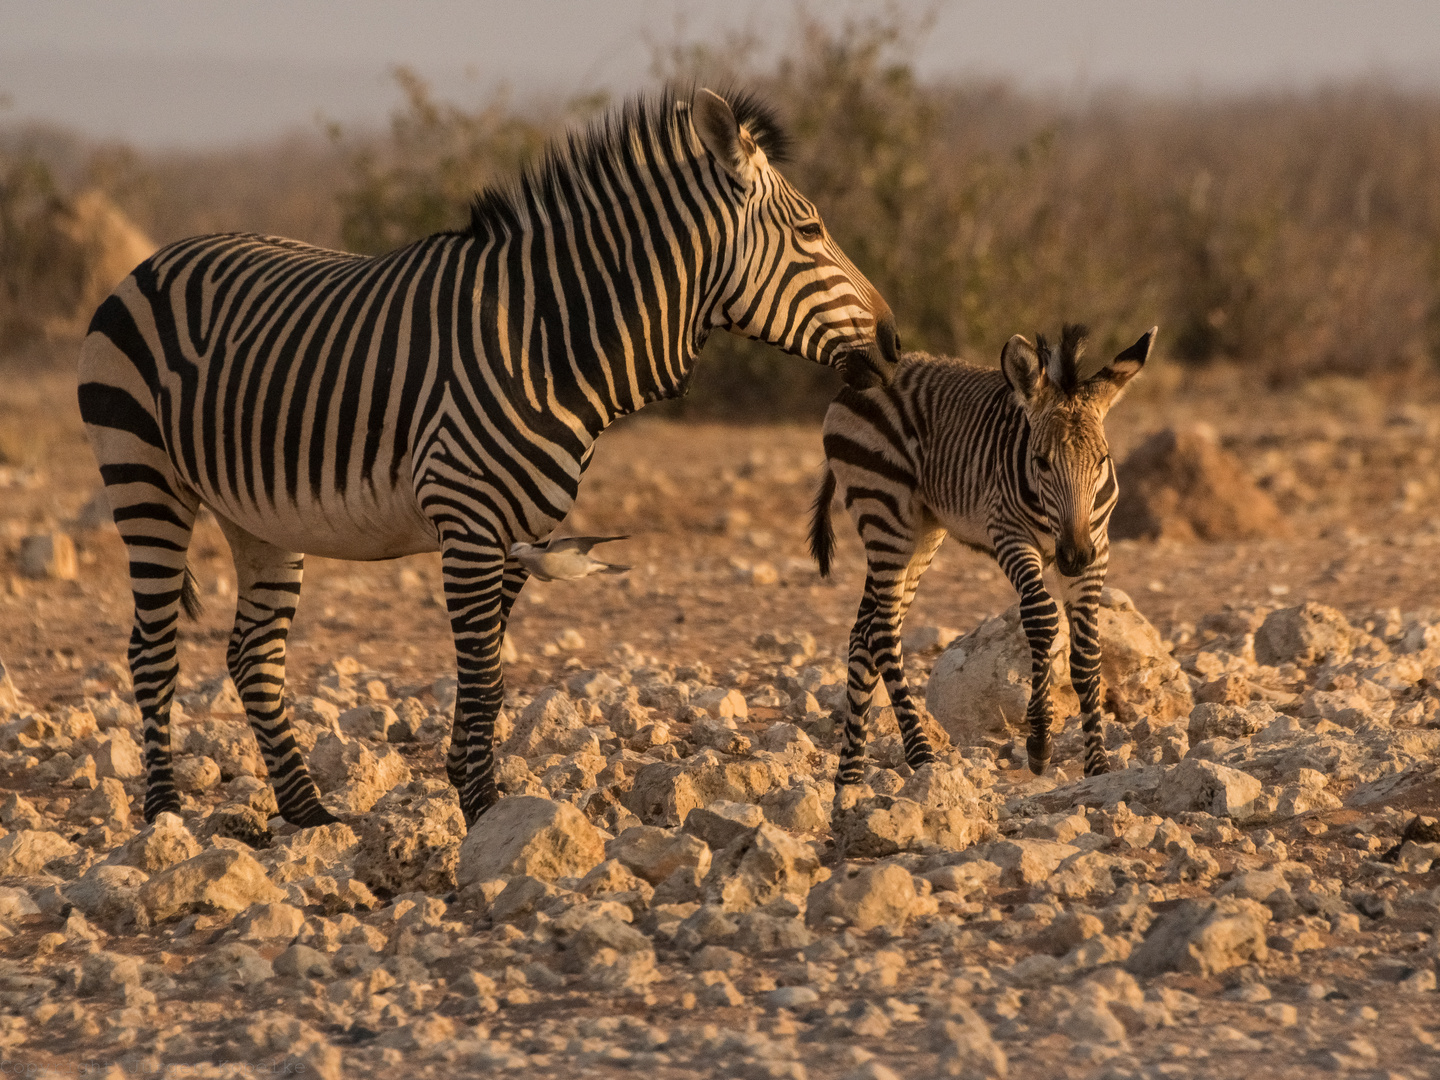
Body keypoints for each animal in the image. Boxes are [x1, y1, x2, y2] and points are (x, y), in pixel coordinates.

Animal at [78, 88, 898, 829]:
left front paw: (478, 792)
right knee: (152, 649)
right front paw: (482, 809)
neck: (548, 339)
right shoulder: (469, 524)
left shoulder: (520, 533)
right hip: (144, 478)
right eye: (810, 229)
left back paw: (308, 813)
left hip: (259, 517)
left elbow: (489, 679)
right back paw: (164, 816)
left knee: (253, 656)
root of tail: (151, 260)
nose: (892, 345)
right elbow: (483, 679)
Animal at [817, 325, 1152, 789]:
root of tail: (859, 378)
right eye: (1040, 462)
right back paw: (920, 754)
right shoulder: (1009, 534)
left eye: (1102, 460)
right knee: (882, 631)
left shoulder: (1097, 548)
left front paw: (1099, 766)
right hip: (884, 511)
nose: (1072, 557)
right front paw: (1039, 742)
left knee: (864, 631)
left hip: (922, 532)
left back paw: (849, 774)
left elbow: (1087, 656)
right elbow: (1041, 617)